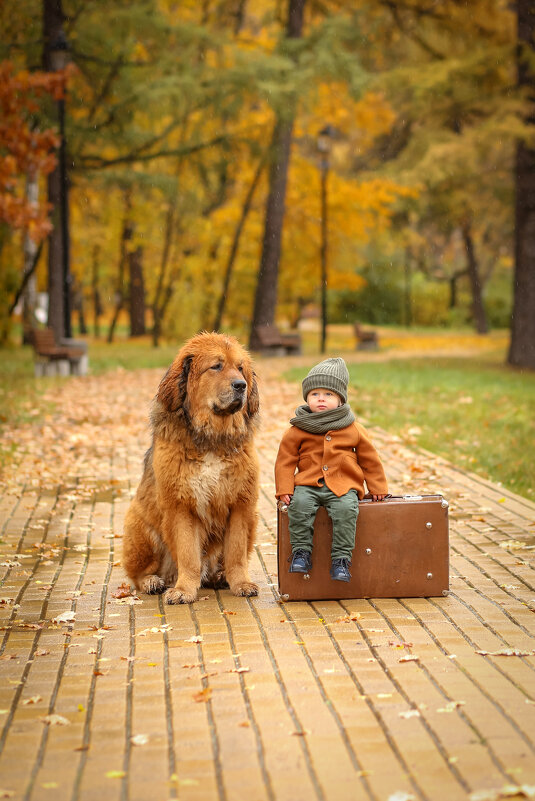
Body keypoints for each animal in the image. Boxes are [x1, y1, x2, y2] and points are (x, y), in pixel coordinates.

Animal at [123, 330, 262, 600]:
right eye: (216, 366)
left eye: (240, 368)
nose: (241, 385)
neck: (212, 439)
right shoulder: (181, 506)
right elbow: (188, 556)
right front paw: (184, 590)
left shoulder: (241, 505)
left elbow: (236, 554)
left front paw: (241, 583)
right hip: (141, 529)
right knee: (139, 574)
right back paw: (152, 581)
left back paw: (220, 577)